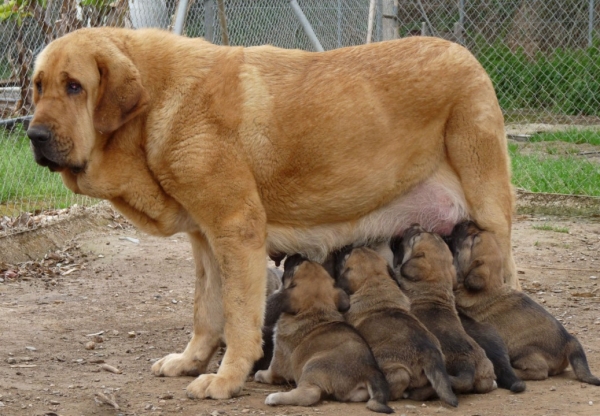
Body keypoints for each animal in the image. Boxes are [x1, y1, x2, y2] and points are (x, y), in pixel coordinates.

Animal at [254, 254, 392, 412]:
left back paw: (274, 397)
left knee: (309, 394)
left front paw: (260, 374)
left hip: (312, 367)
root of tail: (369, 371)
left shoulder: (279, 357)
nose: (297, 255)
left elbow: (271, 372)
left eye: (296, 265)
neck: (316, 310)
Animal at [450, 223, 600, 386]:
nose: (464, 223)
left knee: (539, 371)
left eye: (474, 238)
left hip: (524, 351)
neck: (488, 287)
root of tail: (569, 341)